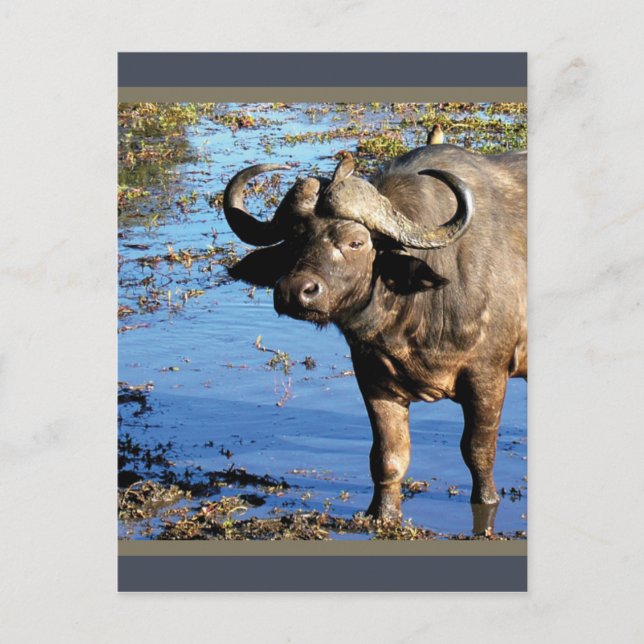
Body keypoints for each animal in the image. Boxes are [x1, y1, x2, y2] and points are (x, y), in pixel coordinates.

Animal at [223, 143, 527, 530]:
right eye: (293, 239)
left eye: (356, 242)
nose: (294, 291)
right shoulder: (374, 379)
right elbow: (388, 456)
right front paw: (382, 514)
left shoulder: (487, 376)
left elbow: (478, 451)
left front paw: (486, 501)